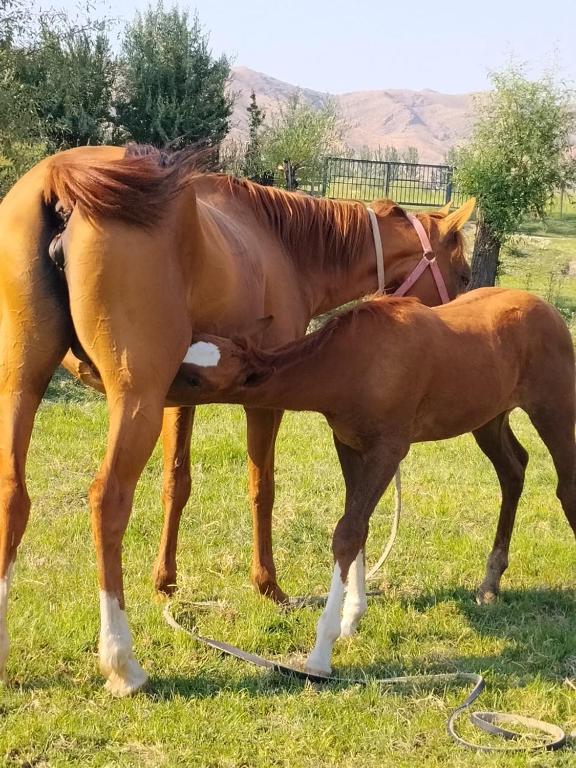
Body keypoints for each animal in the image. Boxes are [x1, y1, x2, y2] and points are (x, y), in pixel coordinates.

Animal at [0, 144, 473, 695]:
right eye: (463, 275)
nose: (454, 333)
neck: (285, 247)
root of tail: (65, 180)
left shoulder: (177, 399)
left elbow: (176, 484)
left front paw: (165, 582)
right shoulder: (263, 401)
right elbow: (262, 488)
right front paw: (268, 584)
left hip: (24, 384)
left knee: (14, 495)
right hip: (133, 400)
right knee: (108, 501)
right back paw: (122, 660)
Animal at [178, 287, 576, 674]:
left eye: (195, 378)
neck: (357, 363)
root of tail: (549, 312)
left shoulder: (389, 450)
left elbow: (347, 533)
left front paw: (321, 653)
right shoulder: (349, 444)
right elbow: (360, 528)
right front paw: (352, 618)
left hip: (553, 409)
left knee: (564, 487)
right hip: (489, 420)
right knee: (513, 471)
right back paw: (490, 583)